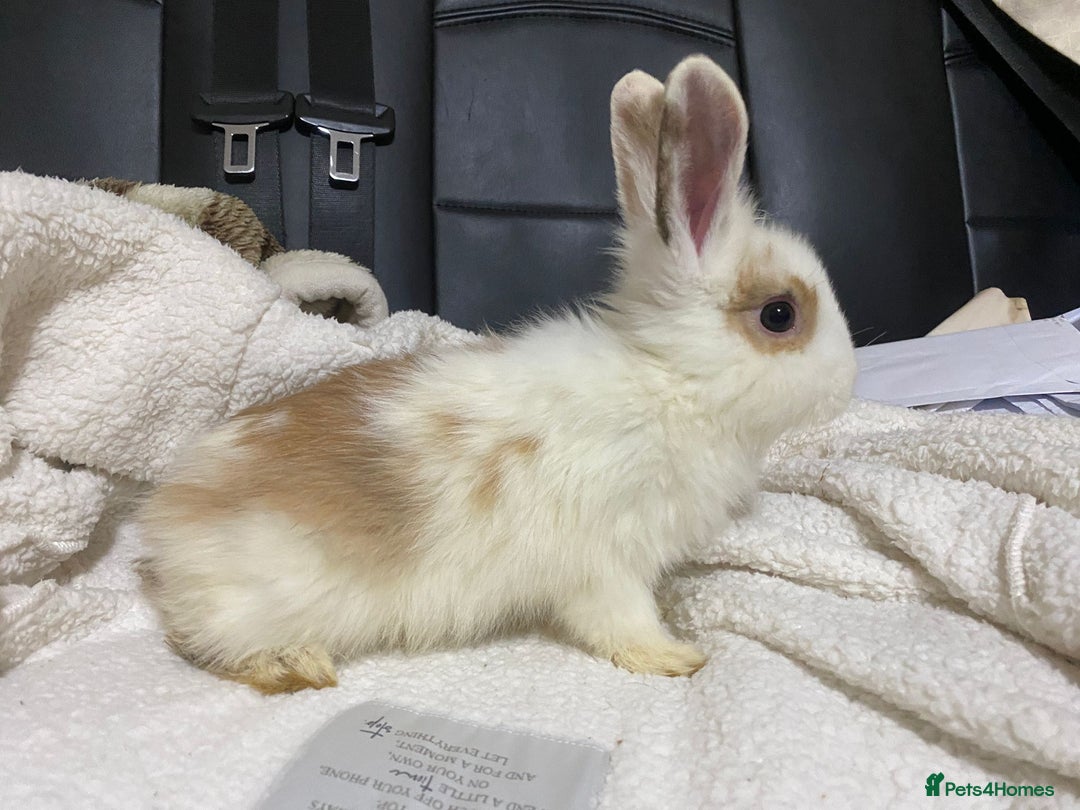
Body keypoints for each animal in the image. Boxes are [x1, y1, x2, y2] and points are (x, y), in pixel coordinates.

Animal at [137, 54, 857, 694]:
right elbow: (621, 620)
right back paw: (298, 665)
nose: (847, 385)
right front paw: (677, 657)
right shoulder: (608, 560)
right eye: (780, 315)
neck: (671, 381)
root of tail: (168, 528)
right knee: (203, 642)